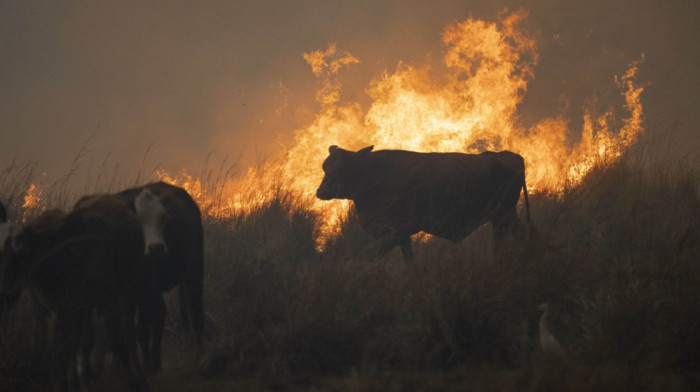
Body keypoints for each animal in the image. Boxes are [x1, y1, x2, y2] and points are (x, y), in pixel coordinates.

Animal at [116, 182, 204, 372]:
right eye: (136, 220)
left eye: (164, 218)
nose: (156, 247)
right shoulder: (128, 295)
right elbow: (129, 328)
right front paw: (139, 366)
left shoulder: (147, 289)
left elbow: (142, 328)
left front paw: (147, 366)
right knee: (159, 313)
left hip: (195, 265)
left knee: (195, 308)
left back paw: (199, 354)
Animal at [314, 144, 532, 260]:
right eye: (325, 167)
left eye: (342, 167)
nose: (321, 191)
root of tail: (505, 155)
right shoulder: (399, 235)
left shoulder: (398, 231)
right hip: (506, 216)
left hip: (502, 216)